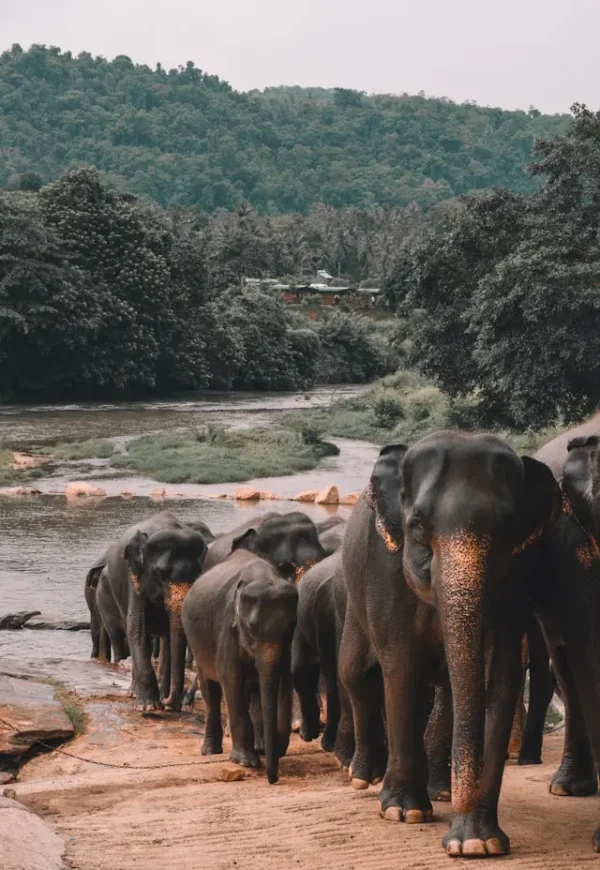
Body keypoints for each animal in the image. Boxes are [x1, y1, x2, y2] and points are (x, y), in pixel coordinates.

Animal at [338, 432, 559, 857]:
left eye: (506, 528)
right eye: (417, 525)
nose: (462, 798)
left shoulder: (518, 575)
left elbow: (500, 678)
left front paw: (478, 842)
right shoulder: (384, 568)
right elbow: (401, 667)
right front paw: (404, 813)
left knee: (445, 693)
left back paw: (439, 791)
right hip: (354, 600)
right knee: (356, 675)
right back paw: (363, 778)